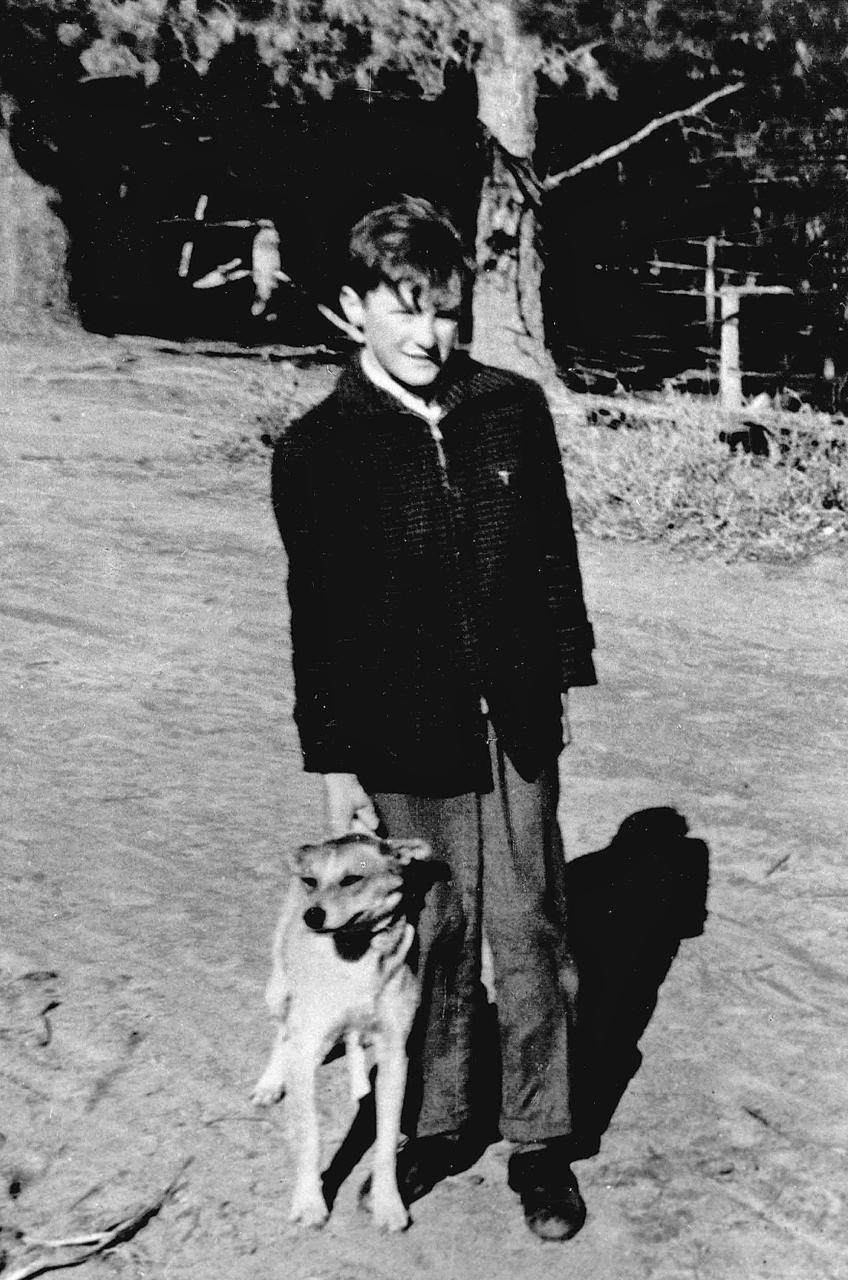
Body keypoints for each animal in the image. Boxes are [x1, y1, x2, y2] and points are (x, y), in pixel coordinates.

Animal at [251, 829, 438, 1228]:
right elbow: (310, 1137)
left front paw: (388, 1203)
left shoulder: (396, 1056)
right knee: (283, 1034)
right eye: (311, 881)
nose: (312, 916)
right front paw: (310, 1202)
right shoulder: (306, 1055)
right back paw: (271, 1082)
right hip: (279, 991)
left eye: (352, 879)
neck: (355, 953)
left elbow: (386, 1141)